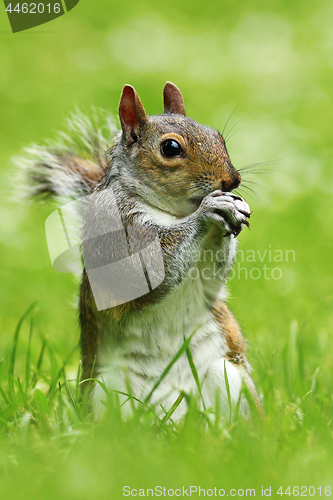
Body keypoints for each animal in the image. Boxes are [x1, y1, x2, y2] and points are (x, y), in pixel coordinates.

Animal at [20, 84, 260, 420]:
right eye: (170, 148)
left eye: (219, 137)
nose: (232, 180)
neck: (171, 213)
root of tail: (175, 417)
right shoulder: (113, 233)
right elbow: (150, 271)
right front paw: (209, 209)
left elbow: (212, 277)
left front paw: (234, 207)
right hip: (107, 390)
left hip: (226, 375)